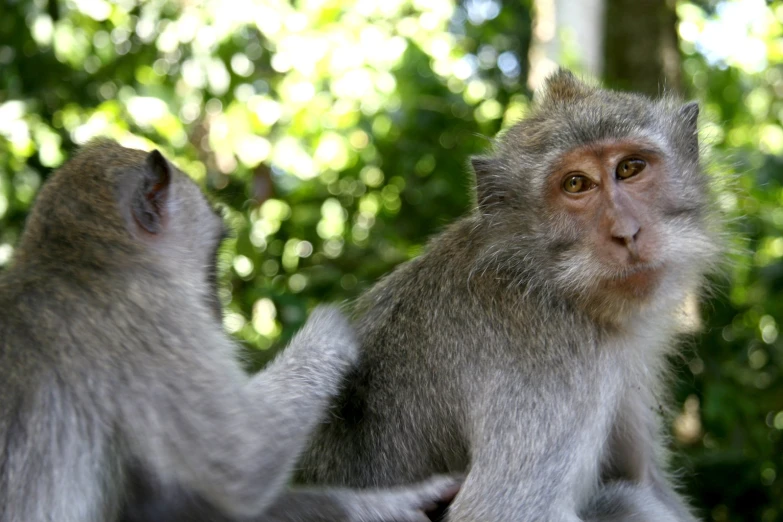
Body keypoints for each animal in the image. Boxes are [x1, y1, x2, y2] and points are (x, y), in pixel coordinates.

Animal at [0, 138, 460, 520]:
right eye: (213, 254)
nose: (216, 306)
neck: (82, 258)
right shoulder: (153, 323)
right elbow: (239, 462)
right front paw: (335, 328)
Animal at [298, 70, 724, 520]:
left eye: (629, 168)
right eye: (576, 184)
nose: (627, 233)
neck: (542, 279)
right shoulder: (553, 357)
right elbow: (501, 509)